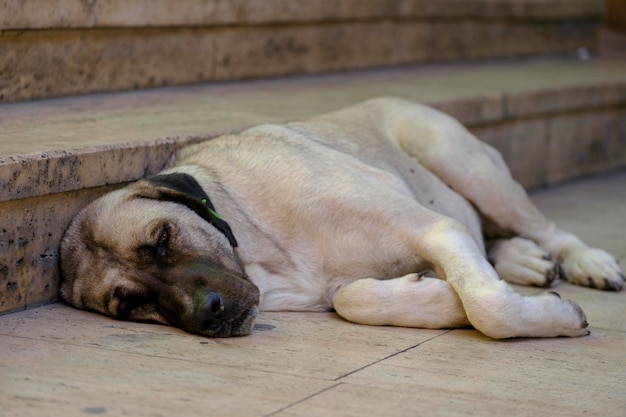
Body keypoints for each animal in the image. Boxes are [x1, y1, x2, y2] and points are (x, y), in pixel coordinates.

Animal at [57, 97, 620, 338]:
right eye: (130, 304)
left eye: (163, 238)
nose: (208, 314)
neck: (261, 249)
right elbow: (353, 298)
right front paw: (440, 297)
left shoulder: (436, 228)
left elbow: (489, 307)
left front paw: (555, 318)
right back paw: (522, 260)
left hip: (462, 162)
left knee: (545, 227)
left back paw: (585, 260)